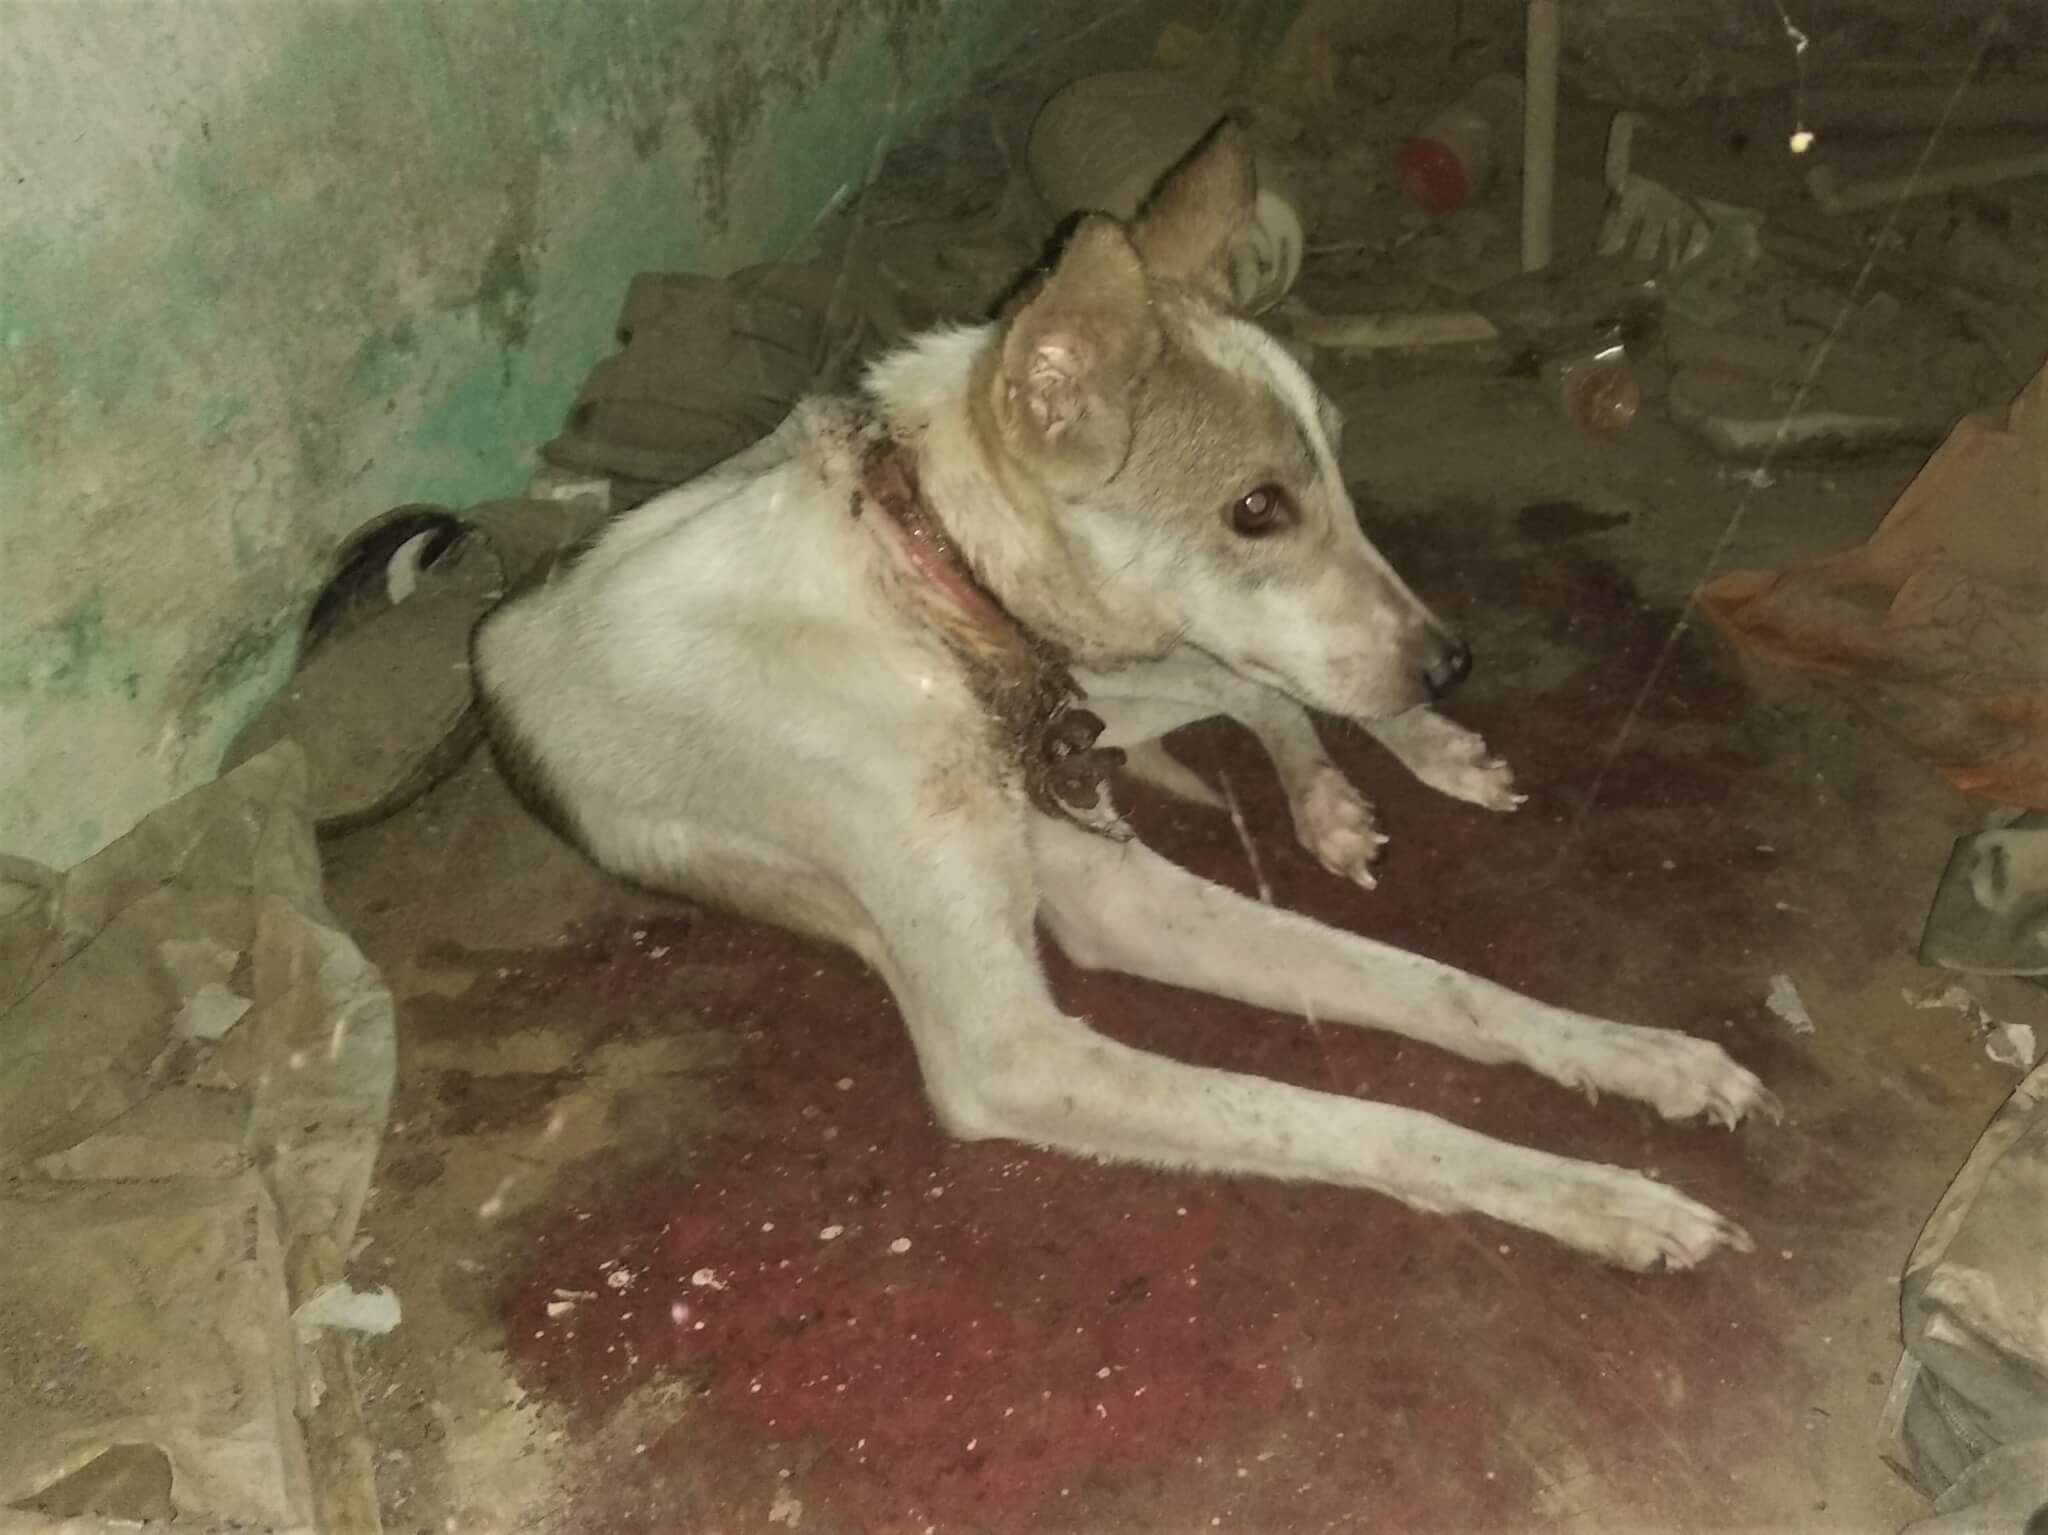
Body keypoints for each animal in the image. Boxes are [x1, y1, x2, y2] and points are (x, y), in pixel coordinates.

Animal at [475, 120, 1777, 1277]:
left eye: (1338, 461)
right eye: (1256, 507)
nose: (1452, 662)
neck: (928, 600)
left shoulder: (1111, 882)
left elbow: (1443, 984)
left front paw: (1633, 1052)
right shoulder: (1011, 1043)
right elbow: (1353, 1115)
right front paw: (1593, 1193)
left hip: (1137, 676)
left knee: (1248, 689)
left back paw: (1400, 763)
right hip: (1126, 686)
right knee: (1247, 692)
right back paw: (1342, 786)